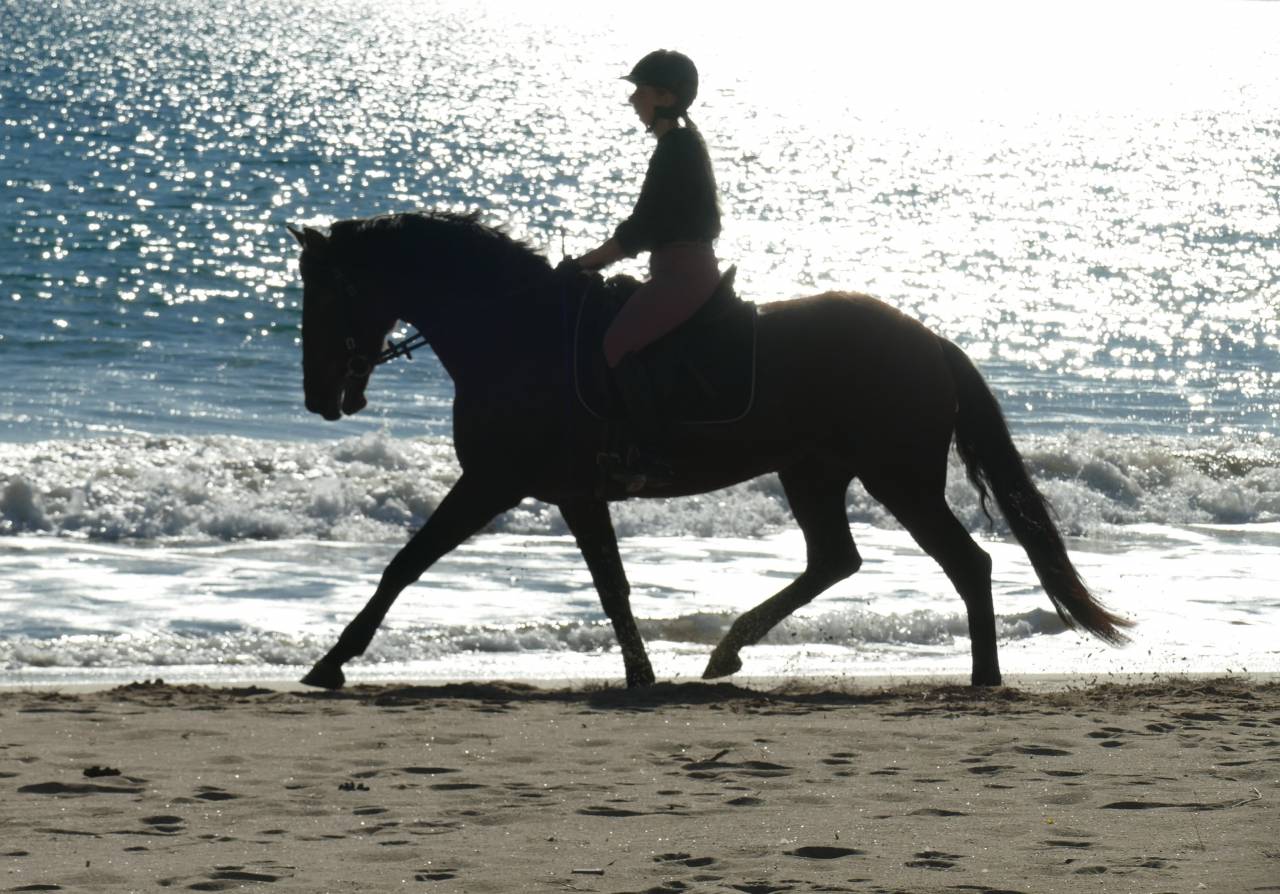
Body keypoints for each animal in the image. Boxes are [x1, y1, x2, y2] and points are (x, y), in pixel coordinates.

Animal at [287, 210, 1130, 690]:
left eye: (325, 293)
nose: (321, 397)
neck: (513, 331)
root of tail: (929, 340)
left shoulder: (501, 481)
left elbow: (407, 564)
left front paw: (331, 661)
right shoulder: (563, 492)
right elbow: (608, 586)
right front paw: (640, 671)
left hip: (898, 477)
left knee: (966, 563)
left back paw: (983, 676)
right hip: (814, 470)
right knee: (836, 559)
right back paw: (728, 650)